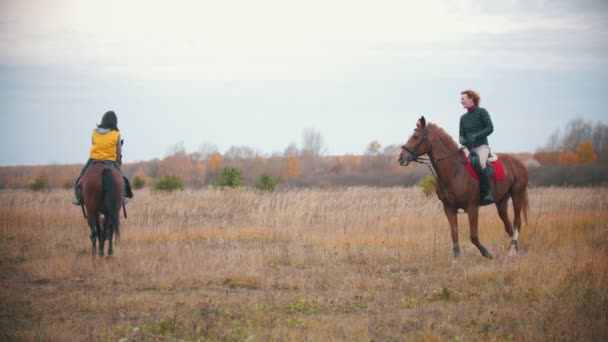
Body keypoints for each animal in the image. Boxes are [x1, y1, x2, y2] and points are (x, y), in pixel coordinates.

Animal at [400, 117, 528, 260]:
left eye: (416, 137)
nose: (401, 158)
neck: (454, 172)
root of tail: (518, 163)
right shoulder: (449, 208)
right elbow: (454, 233)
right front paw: (456, 257)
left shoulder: (472, 207)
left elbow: (473, 236)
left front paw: (486, 253)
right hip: (501, 202)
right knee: (508, 225)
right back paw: (514, 248)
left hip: (517, 195)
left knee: (517, 222)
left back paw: (512, 251)